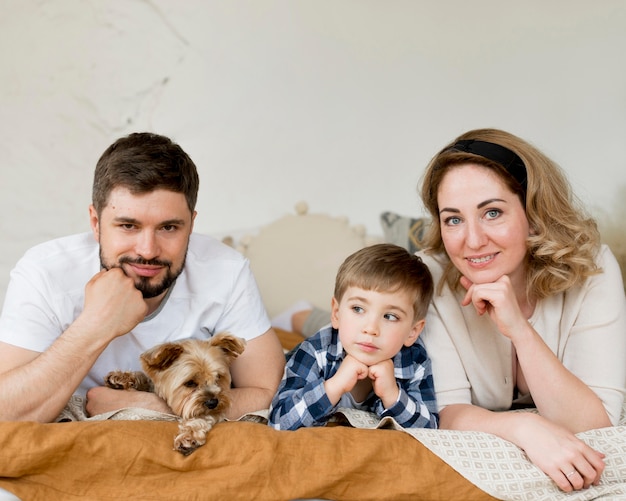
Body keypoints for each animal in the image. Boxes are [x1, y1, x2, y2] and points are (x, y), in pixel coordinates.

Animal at [105, 332, 244, 454]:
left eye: (218, 377)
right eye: (190, 383)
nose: (213, 402)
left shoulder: (215, 411)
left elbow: (204, 417)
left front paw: (189, 436)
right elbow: (143, 379)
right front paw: (120, 378)